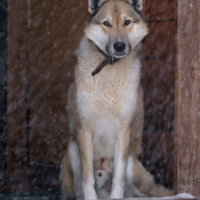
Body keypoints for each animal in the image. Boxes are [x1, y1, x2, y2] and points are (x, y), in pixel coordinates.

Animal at [59, 0, 172, 200]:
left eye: (127, 22)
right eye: (106, 23)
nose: (119, 46)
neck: (108, 66)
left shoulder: (124, 128)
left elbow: (118, 178)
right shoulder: (83, 128)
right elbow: (87, 178)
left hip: (131, 165)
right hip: (72, 149)